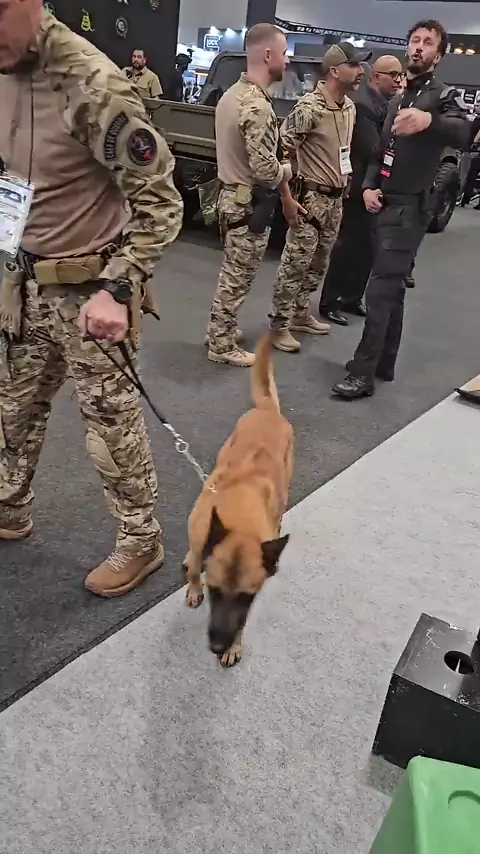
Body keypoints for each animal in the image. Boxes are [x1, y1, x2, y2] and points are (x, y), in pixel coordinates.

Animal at [183, 332, 294, 668]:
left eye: (246, 597)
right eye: (215, 591)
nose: (218, 645)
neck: (239, 511)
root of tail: (268, 410)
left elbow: (243, 620)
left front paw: (235, 645)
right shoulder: (200, 535)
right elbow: (195, 565)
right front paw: (193, 585)